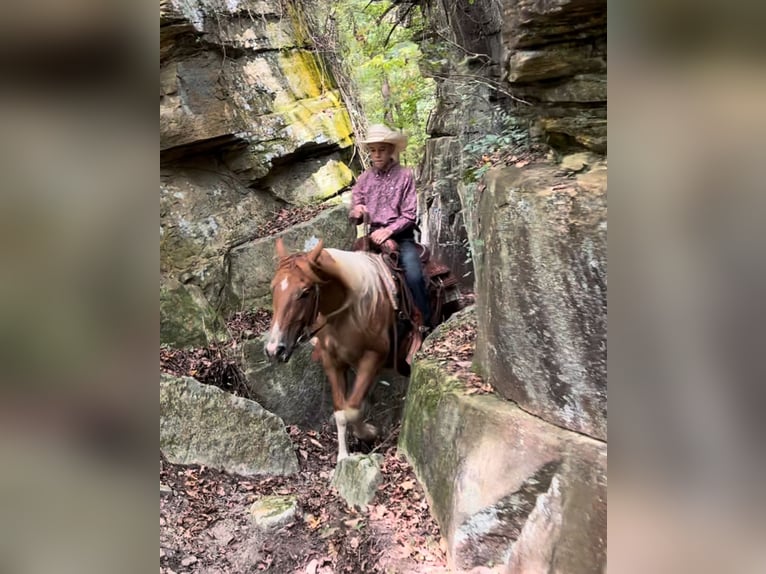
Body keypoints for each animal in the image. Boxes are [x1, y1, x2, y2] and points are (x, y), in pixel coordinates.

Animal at [264, 237, 404, 462]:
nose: (274, 349)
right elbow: (342, 411)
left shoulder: (374, 356)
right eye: (273, 288)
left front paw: (368, 433)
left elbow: (352, 409)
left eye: (305, 292)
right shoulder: (332, 362)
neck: (348, 313)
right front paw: (343, 456)